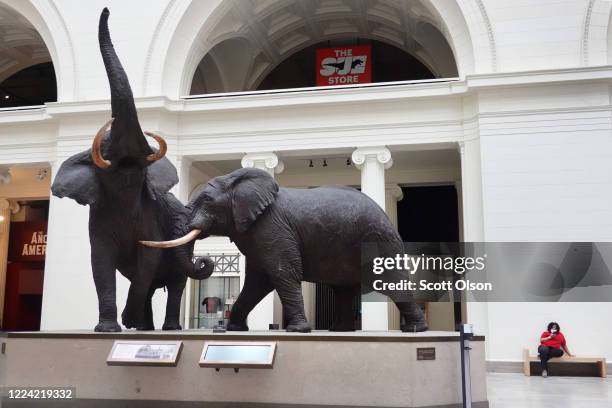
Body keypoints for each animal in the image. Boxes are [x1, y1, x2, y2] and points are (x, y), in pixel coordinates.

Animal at [50, 8, 214, 332]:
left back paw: (165, 328)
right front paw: (108, 329)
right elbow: (100, 263)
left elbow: (146, 261)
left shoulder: (151, 220)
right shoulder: (99, 216)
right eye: (104, 146)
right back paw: (144, 328)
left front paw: (124, 320)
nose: (106, 10)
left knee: (174, 282)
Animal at [141, 167, 428, 334]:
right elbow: (257, 282)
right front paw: (233, 330)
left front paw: (297, 331)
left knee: (390, 282)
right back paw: (339, 331)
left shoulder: (272, 228)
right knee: (343, 289)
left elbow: (281, 273)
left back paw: (416, 330)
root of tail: (384, 214)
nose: (203, 261)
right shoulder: (257, 235)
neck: (236, 181)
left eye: (207, 200)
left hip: (377, 238)